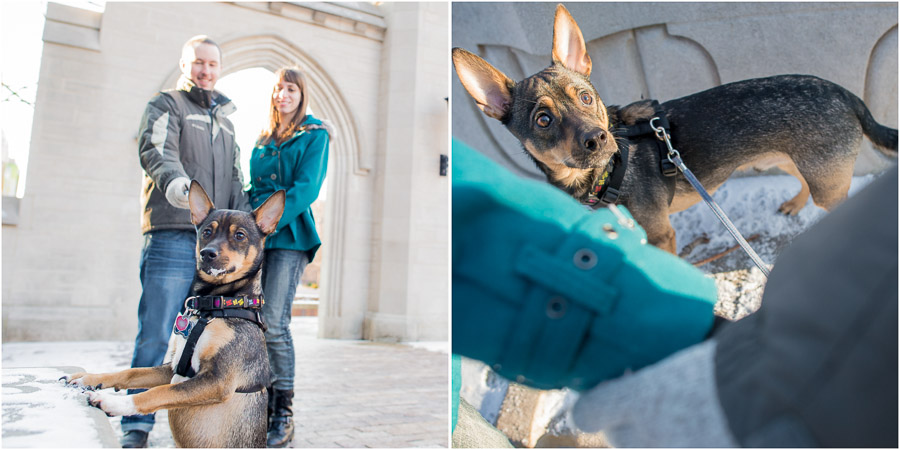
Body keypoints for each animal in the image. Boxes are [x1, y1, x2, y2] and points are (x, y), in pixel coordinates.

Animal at [63, 181, 284, 448]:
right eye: (206, 232)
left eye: (239, 235)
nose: (207, 253)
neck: (214, 307)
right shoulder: (173, 368)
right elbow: (132, 372)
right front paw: (88, 378)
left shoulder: (218, 381)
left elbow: (159, 392)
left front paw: (116, 402)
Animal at [454, 5, 896, 255]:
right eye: (543, 120)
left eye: (585, 97)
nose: (597, 138)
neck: (603, 175)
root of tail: (847, 94)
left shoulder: (661, 235)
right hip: (791, 160)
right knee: (802, 181)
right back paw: (793, 204)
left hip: (825, 180)